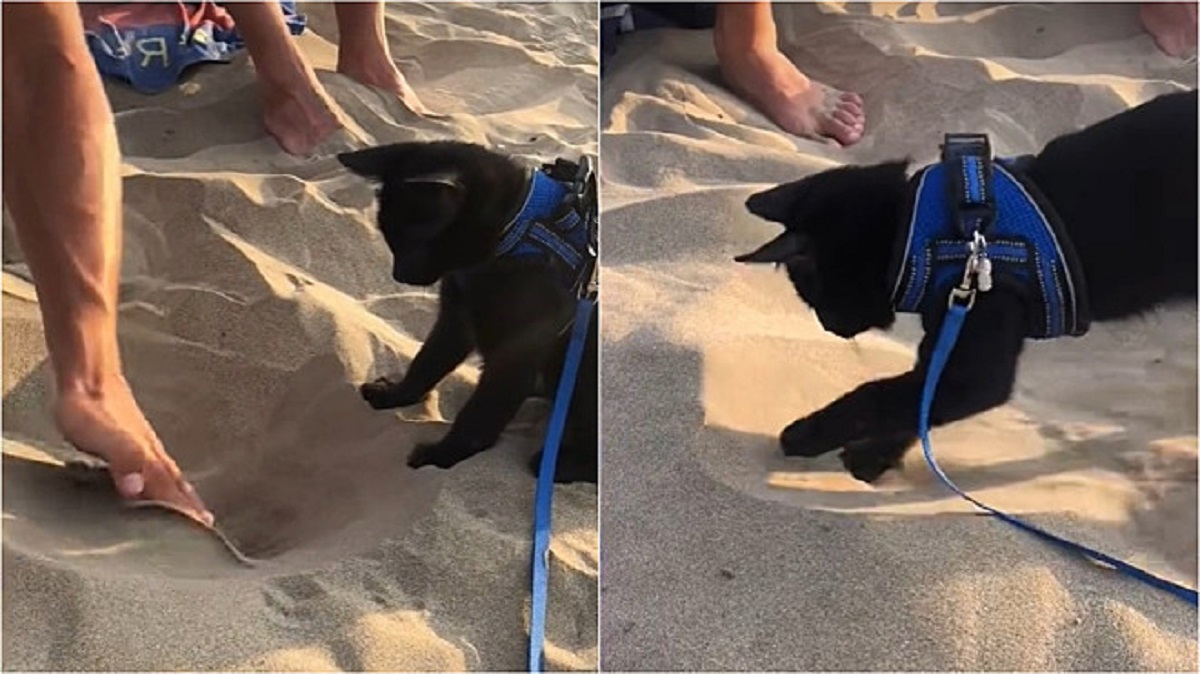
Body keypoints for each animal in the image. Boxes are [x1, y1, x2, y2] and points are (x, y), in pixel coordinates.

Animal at [336, 139, 597, 479]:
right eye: (388, 237)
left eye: (416, 241)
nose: (399, 274)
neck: (514, 227)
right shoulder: (455, 319)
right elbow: (426, 362)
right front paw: (396, 395)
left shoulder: (518, 348)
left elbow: (479, 414)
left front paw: (442, 456)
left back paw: (559, 463)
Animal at [734, 89, 1195, 479]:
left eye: (813, 295)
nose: (829, 329)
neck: (919, 229)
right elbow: (915, 403)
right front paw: (874, 457)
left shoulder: (973, 370)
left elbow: (877, 397)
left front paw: (806, 434)